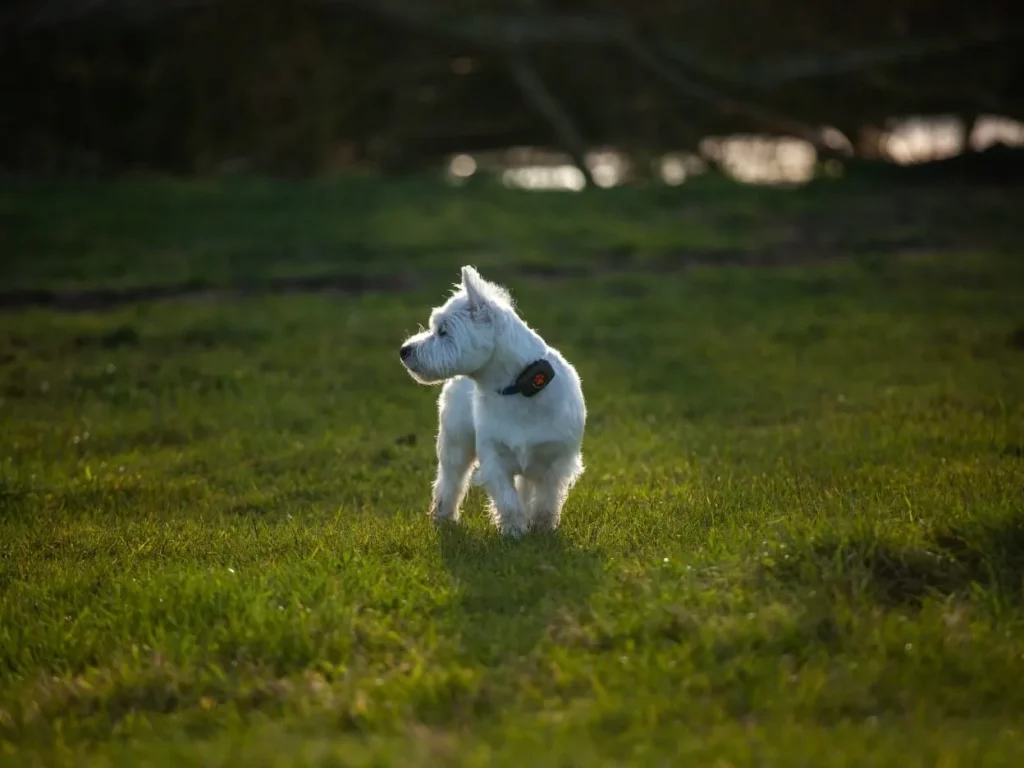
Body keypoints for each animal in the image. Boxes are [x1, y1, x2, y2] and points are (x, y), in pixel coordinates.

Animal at [401, 268, 589, 536]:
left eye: (443, 332)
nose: (404, 350)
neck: (518, 390)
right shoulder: (494, 458)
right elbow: (507, 500)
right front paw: (514, 531)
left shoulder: (557, 461)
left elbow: (546, 500)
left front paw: (543, 529)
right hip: (455, 442)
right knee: (450, 480)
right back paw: (443, 518)